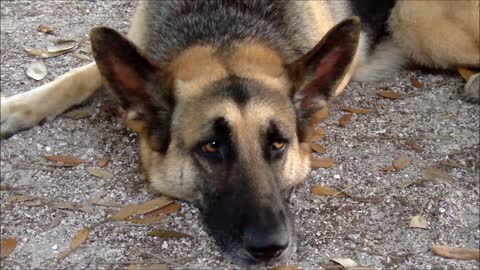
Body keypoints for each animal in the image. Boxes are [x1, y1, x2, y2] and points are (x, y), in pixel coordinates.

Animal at [0, 0, 478, 266]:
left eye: (278, 143)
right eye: (212, 146)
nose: (270, 248)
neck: (225, 27)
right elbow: (79, 74)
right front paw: (17, 107)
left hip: (421, 24)